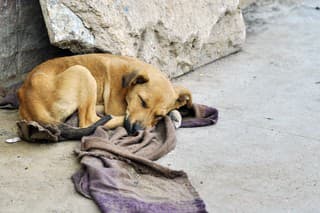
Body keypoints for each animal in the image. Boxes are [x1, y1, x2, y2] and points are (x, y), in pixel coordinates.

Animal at [17, 53, 191, 135]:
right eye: (142, 101)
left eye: (159, 115)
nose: (136, 130)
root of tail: (28, 98)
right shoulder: (117, 107)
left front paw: (174, 114)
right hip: (82, 72)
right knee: (88, 121)